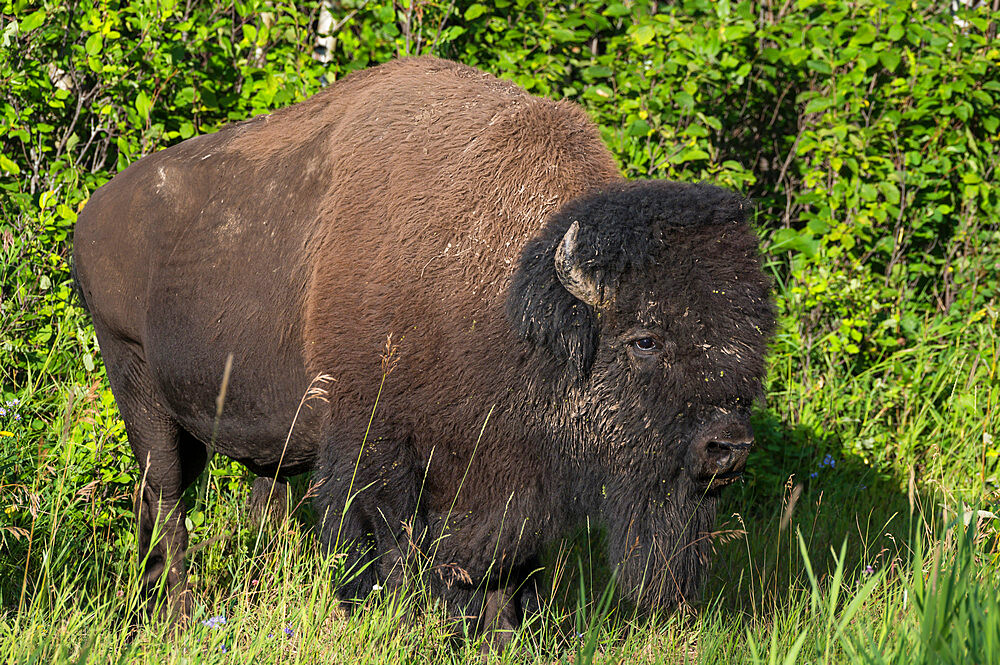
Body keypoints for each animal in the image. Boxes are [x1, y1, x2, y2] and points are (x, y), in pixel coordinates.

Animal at [72, 57, 772, 640]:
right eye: (644, 340)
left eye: (752, 339)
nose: (728, 446)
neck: (506, 298)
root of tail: (93, 210)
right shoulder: (377, 447)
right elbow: (392, 546)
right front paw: (403, 623)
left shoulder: (507, 477)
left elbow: (507, 565)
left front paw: (501, 637)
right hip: (137, 382)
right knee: (165, 498)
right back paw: (176, 617)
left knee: (240, 499)